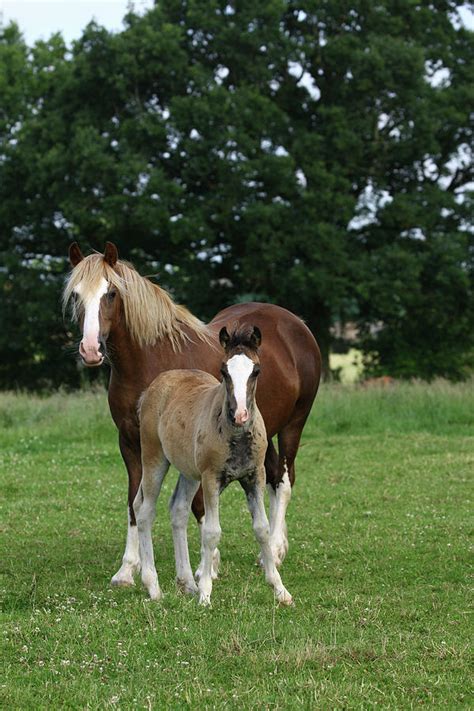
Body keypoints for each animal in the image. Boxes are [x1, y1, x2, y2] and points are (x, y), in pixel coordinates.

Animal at [131, 324, 290, 608]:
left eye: (256, 370)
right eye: (224, 371)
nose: (240, 415)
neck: (236, 436)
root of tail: (152, 389)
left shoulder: (254, 476)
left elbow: (262, 529)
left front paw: (280, 589)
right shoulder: (211, 477)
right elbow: (211, 532)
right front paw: (205, 594)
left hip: (188, 472)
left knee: (178, 509)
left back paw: (187, 584)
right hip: (153, 457)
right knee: (144, 509)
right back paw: (154, 587)